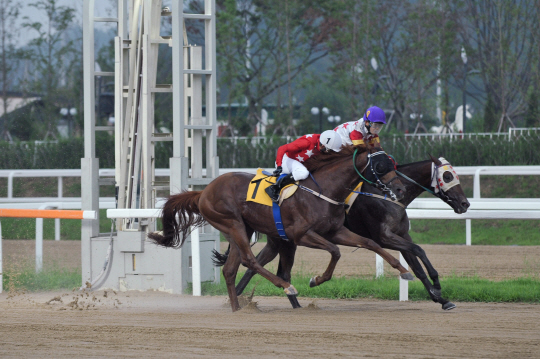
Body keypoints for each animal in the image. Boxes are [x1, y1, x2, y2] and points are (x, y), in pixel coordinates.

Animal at [148, 146, 410, 312]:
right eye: (380, 165)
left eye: (393, 163)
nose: (400, 188)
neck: (324, 190)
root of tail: (203, 192)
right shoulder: (301, 235)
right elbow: (335, 251)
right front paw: (316, 280)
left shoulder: (334, 231)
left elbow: (370, 242)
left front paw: (403, 270)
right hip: (233, 224)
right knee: (250, 261)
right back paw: (286, 288)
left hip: (241, 229)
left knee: (230, 269)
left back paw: (237, 309)